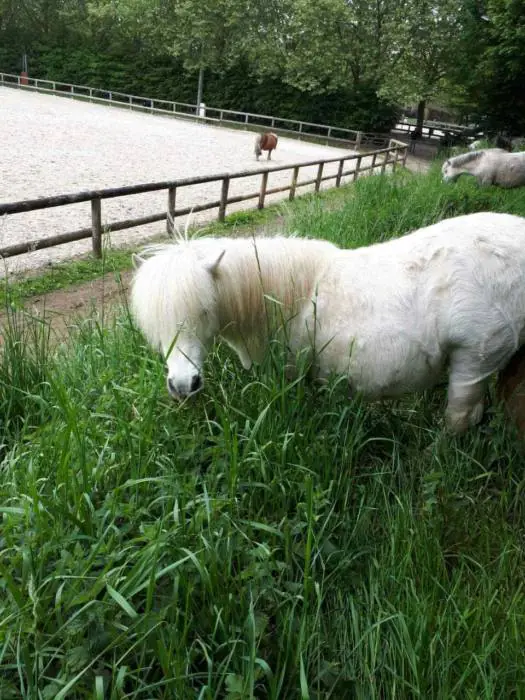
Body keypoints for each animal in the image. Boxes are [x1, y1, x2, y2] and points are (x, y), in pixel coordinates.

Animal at [130, 211, 525, 434]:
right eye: (156, 325)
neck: (286, 295)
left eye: (204, 311)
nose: (183, 385)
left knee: (460, 418)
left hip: (474, 362)